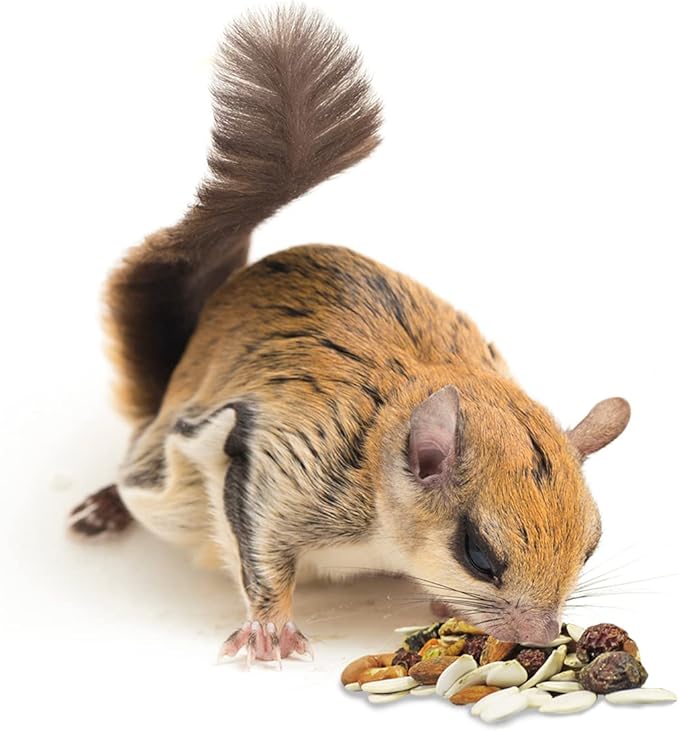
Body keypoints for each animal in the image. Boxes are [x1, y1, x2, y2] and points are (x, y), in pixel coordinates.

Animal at [68, 6, 631, 665]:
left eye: (591, 546)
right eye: (479, 554)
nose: (541, 638)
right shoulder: (285, 462)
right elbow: (262, 554)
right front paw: (269, 632)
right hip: (159, 475)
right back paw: (104, 505)